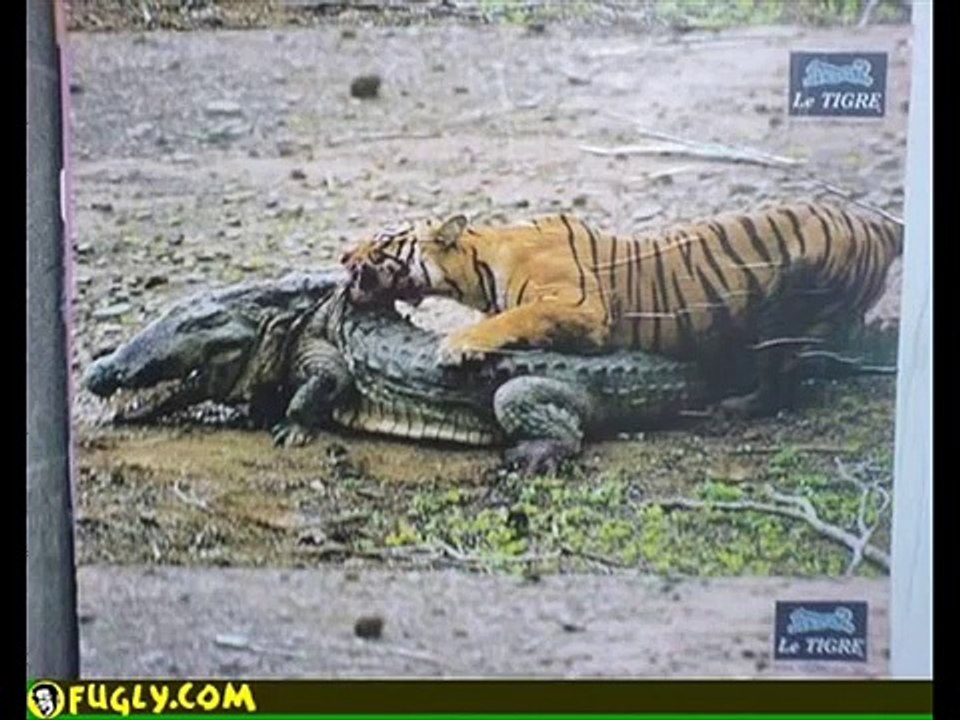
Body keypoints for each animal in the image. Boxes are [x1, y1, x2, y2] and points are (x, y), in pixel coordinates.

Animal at [340, 202, 904, 417]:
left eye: (383, 242)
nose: (343, 257)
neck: (478, 268)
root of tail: (873, 221)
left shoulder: (581, 308)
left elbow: (511, 318)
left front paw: (458, 345)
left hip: (794, 306)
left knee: (787, 376)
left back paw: (738, 405)